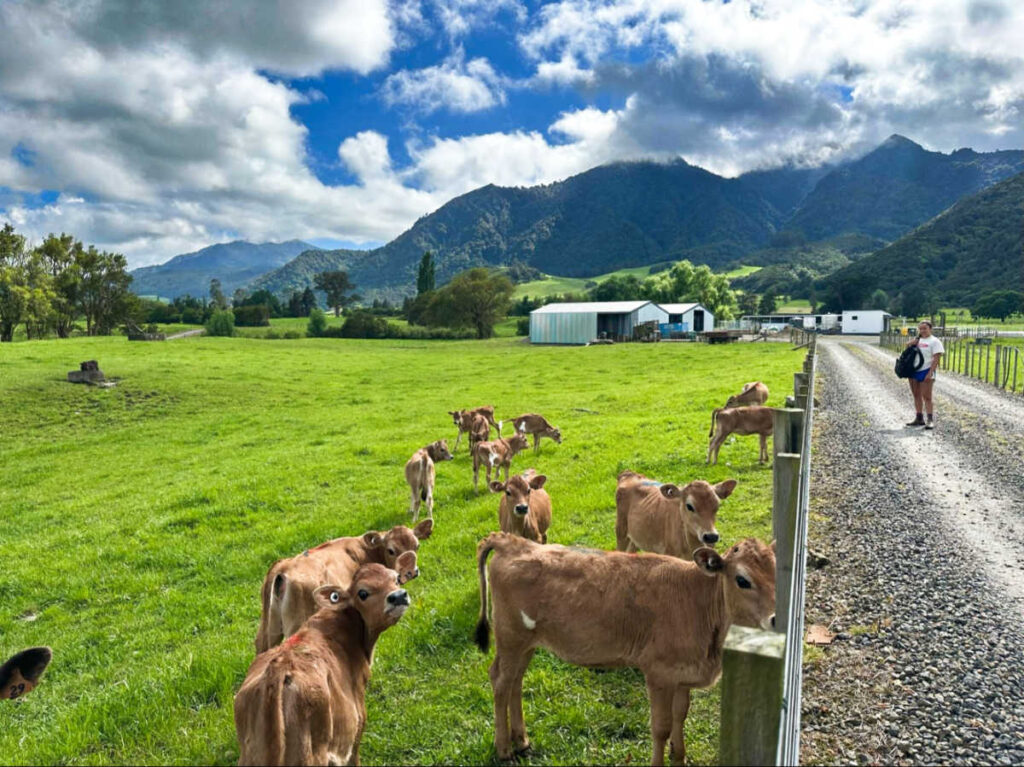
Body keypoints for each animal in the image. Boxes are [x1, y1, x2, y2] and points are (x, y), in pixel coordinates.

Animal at [475, 534, 776, 766]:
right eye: (742, 580)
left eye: (779, 572)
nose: (775, 619)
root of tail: (511, 541)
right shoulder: (659, 673)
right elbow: (661, 727)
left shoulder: (682, 675)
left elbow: (681, 716)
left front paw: (679, 756)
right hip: (511, 636)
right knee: (500, 680)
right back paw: (504, 748)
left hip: (526, 643)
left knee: (515, 681)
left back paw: (522, 740)